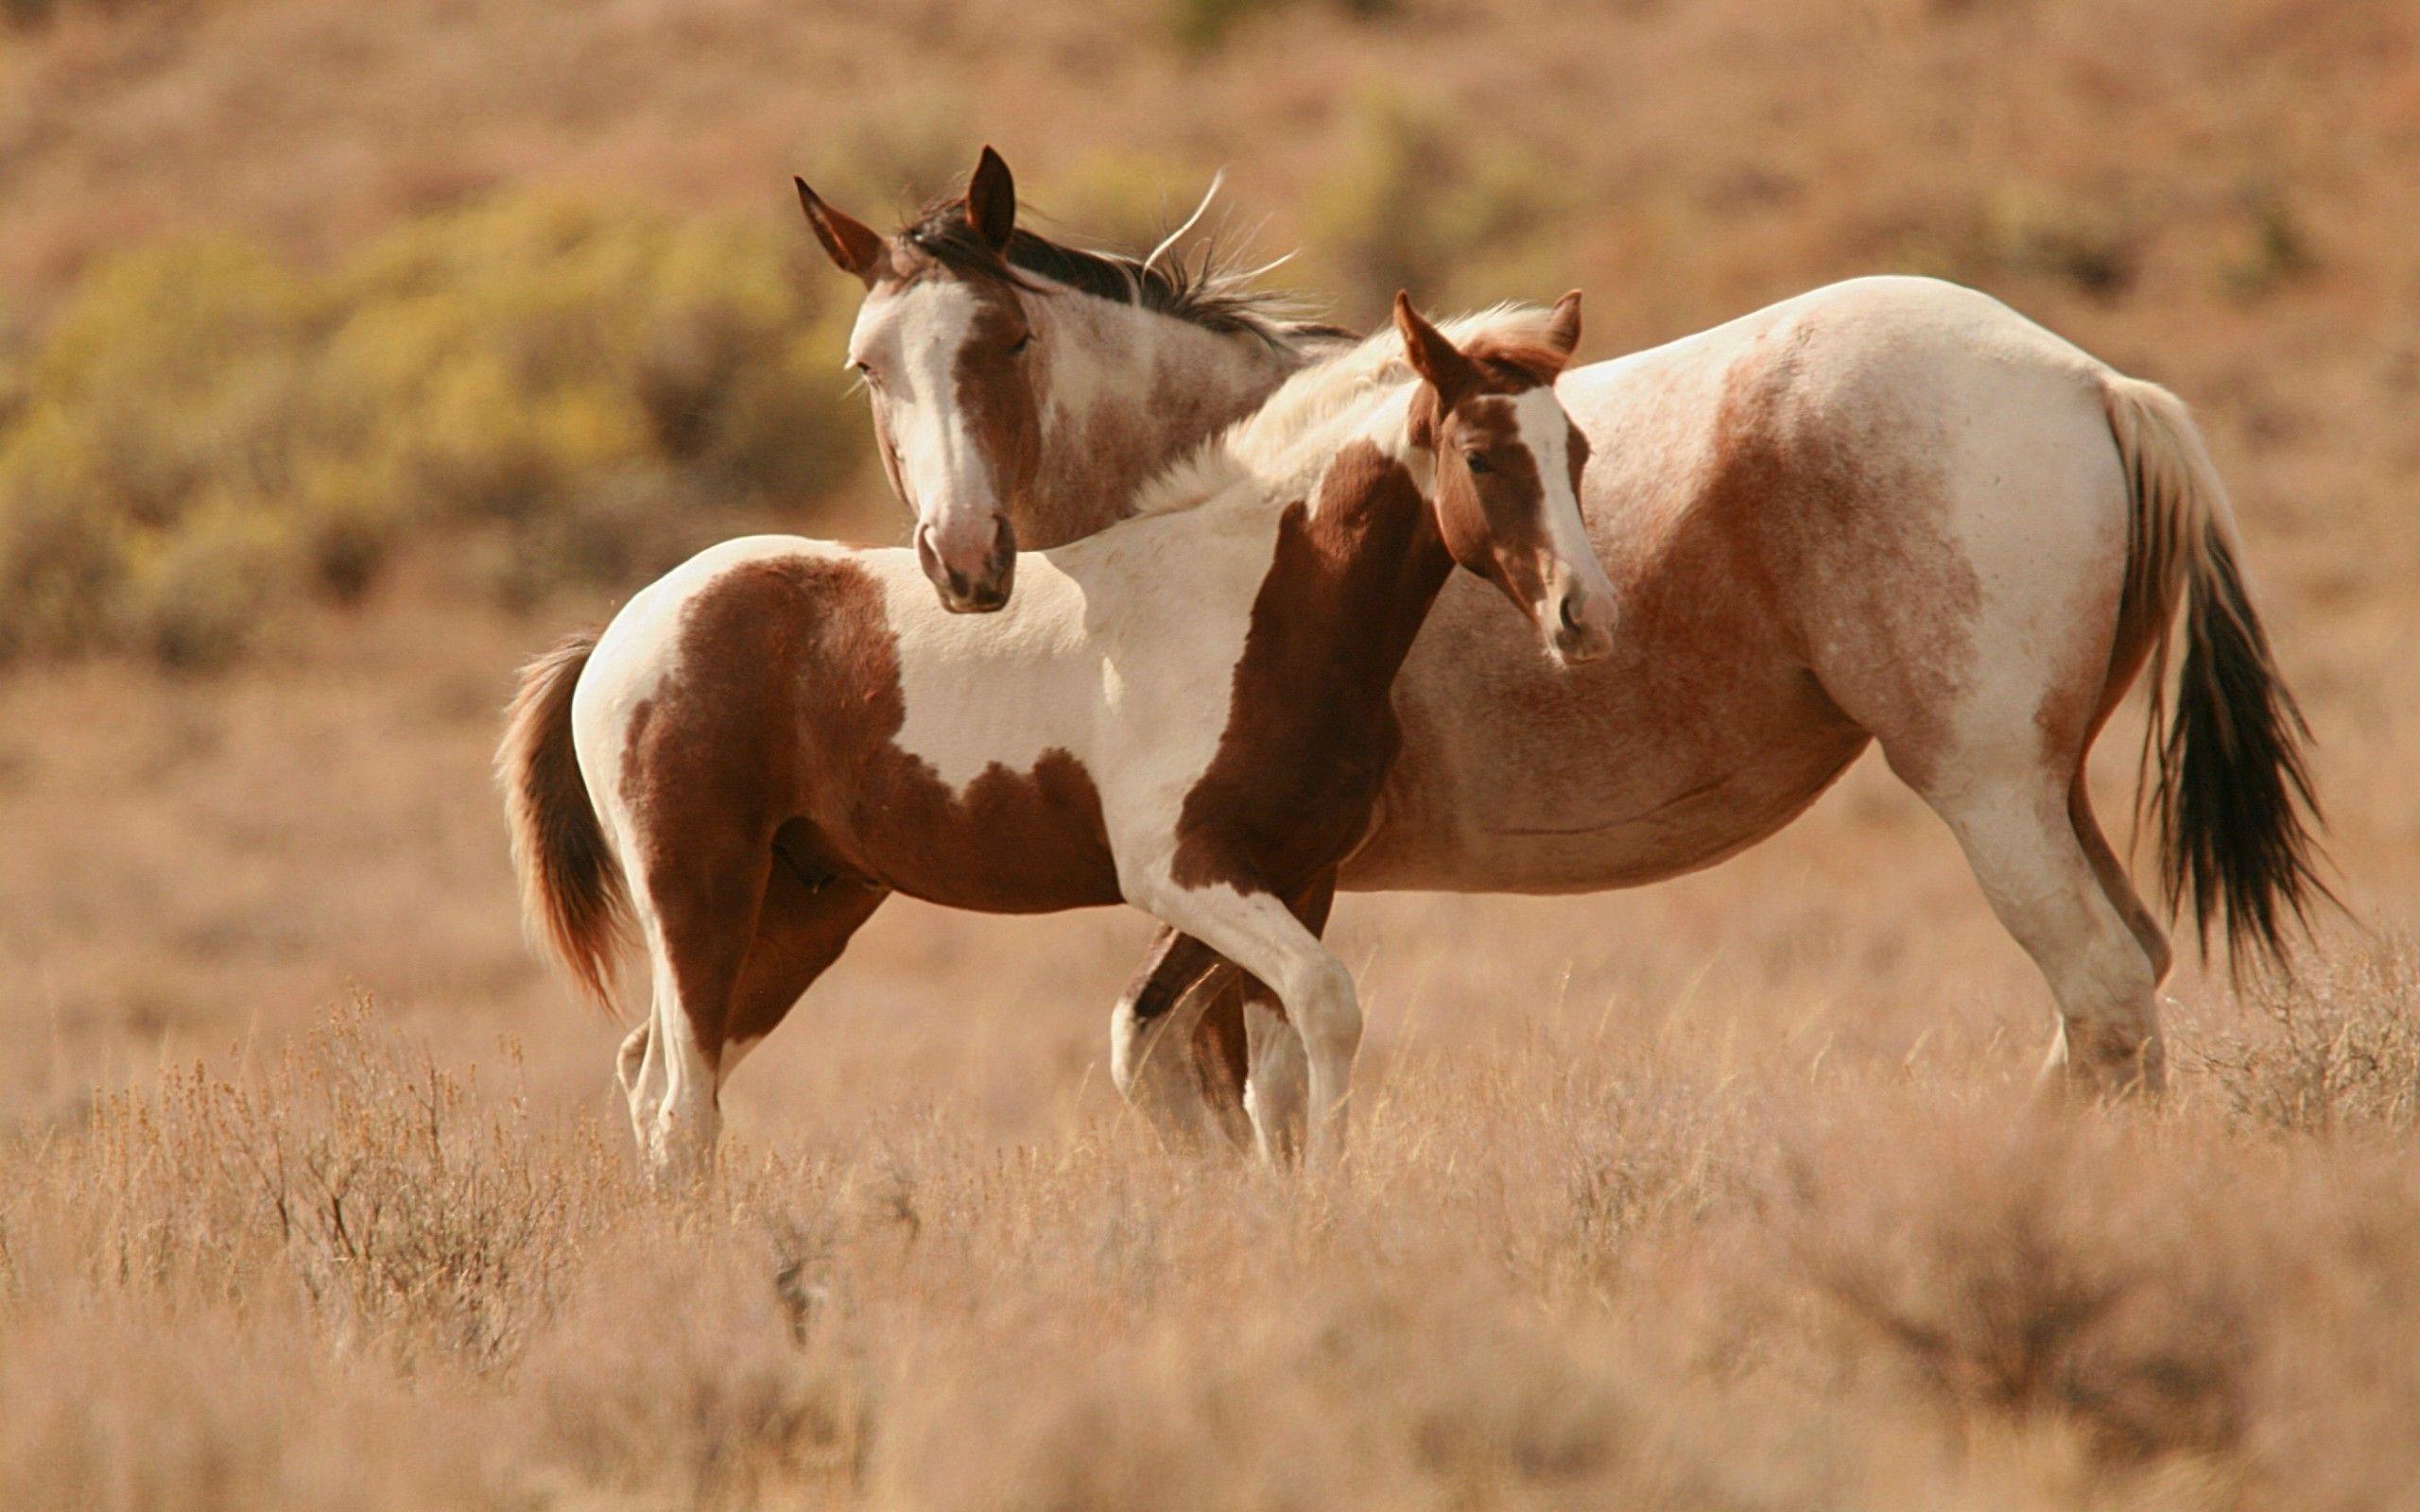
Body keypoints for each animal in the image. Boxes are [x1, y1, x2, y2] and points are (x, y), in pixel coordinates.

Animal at [500, 294, 1616, 1174]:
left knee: (655, 1077)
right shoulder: (1180, 872)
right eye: (1479, 456)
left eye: (1577, 451)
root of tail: (623, 630)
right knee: (679, 1105)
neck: (1258, 608)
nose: (1586, 614)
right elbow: (1327, 1003)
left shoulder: (1299, 875)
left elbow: (1278, 1077)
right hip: (699, 894)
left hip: (800, 909)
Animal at [780, 149, 2325, 1152]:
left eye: (1005, 336)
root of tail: (2091, 381)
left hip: (1990, 790)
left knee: (2103, 995)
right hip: (2048, 788)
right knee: (2119, 993)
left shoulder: (1244, 877)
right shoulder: (1260, 887)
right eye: (867, 365)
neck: (1236, 503)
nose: (962, 560)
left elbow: (1209, 1079)